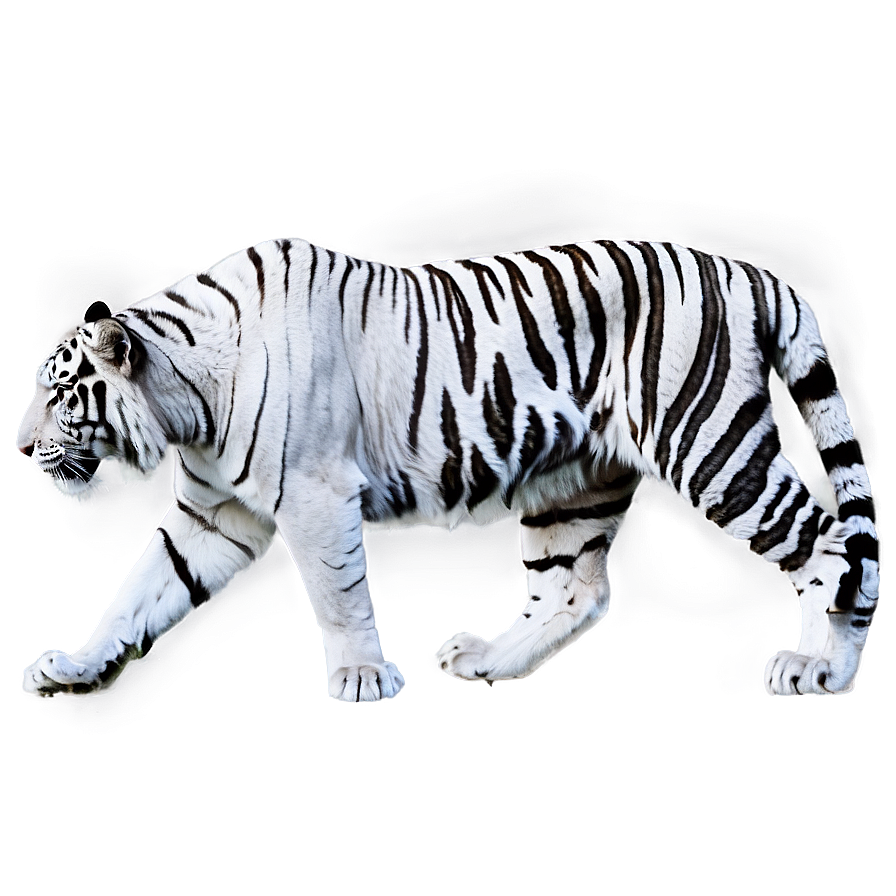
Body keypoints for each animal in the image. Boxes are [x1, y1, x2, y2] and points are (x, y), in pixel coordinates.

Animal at [17, 238, 879, 702]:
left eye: (60, 396)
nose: (20, 451)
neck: (188, 404)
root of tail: (740, 268)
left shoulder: (317, 494)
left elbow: (336, 594)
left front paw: (362, 679)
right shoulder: (214, 513)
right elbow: (139, 592)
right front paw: (75, 667)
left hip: (707, 442)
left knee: (832, 546)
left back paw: (824, 666)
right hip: (574, 481)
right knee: (574, 590)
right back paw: (488, 659)